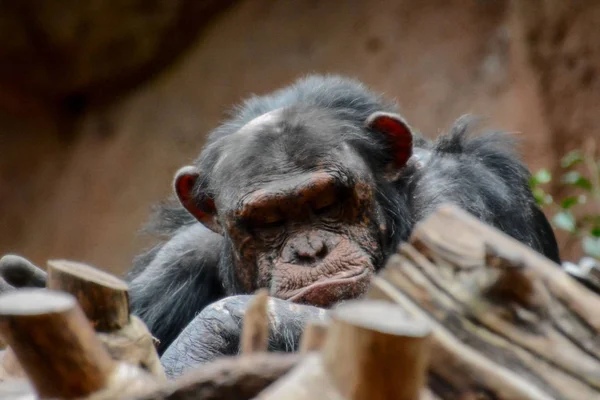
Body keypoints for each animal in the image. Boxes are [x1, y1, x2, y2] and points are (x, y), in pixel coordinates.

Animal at [1, 75, 564, 378]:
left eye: (327, 203)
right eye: (267, 221)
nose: (310, 250)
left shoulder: (461, 198)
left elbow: (452, 333)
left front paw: (203, 338)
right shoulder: (179, 260)